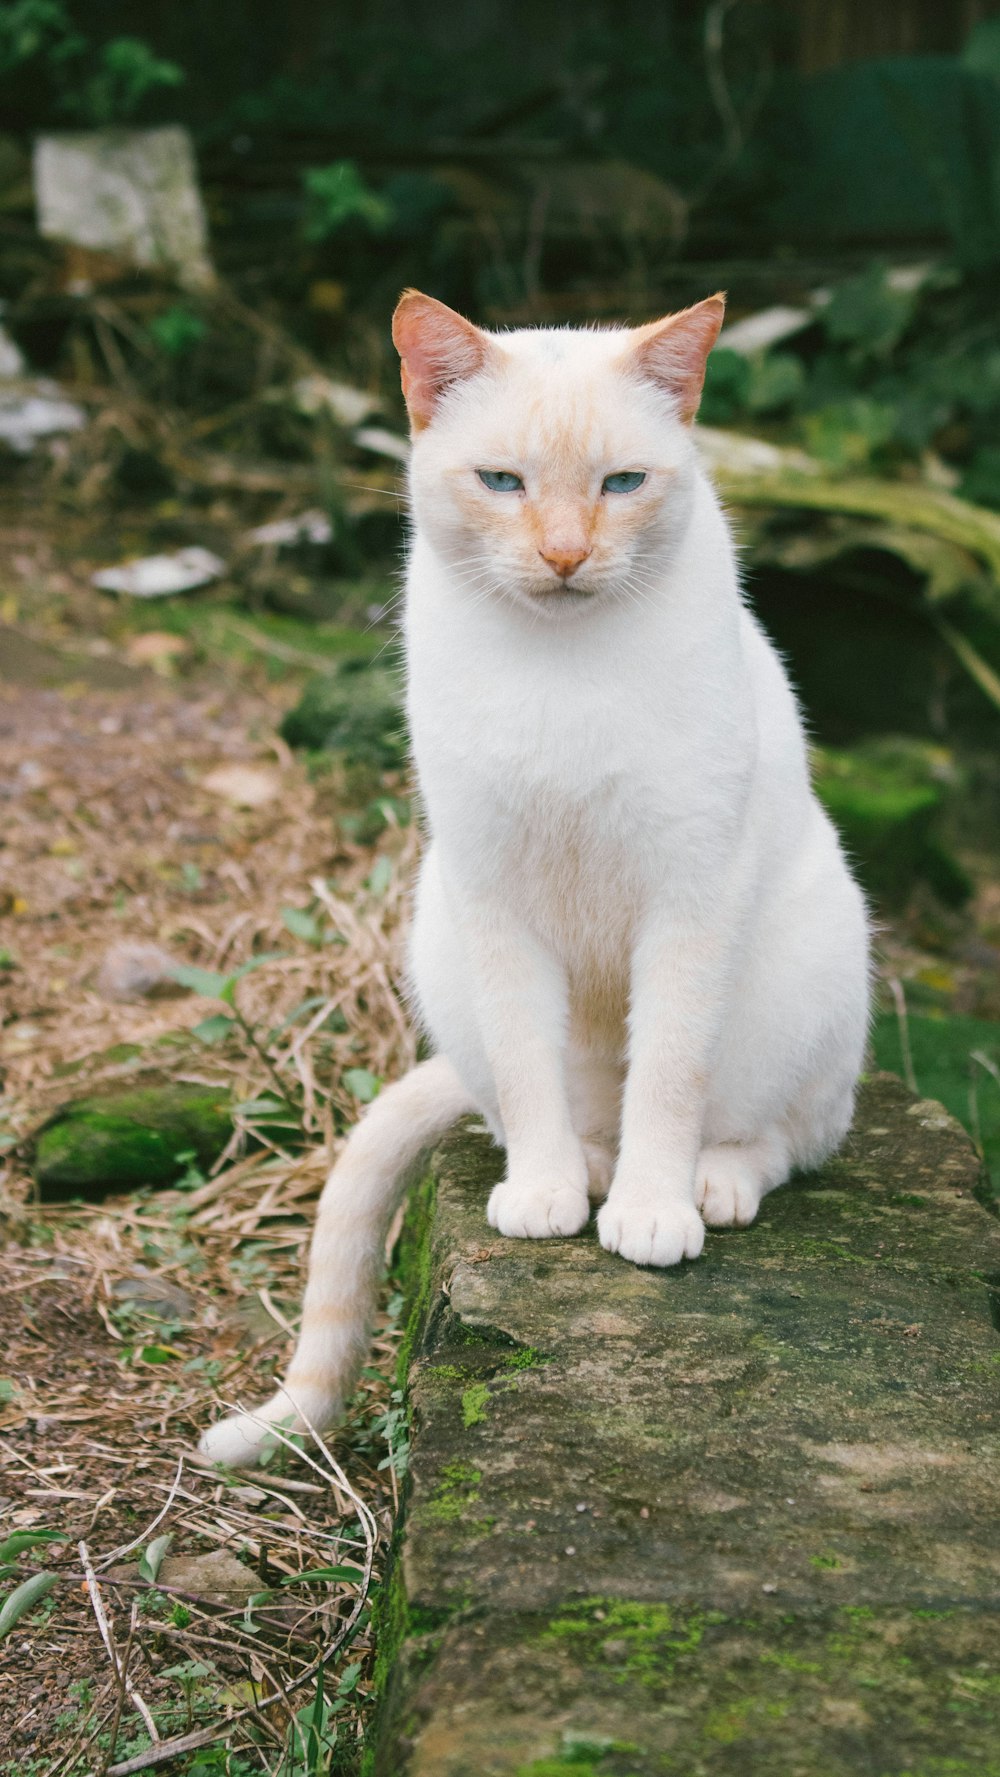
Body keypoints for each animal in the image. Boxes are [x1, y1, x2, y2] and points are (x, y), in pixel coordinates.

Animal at [199, 294, 873, 1471]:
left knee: (783, 1134)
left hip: (812, 956)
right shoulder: (492, 899)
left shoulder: (687, 900)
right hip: (436, 934)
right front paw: (550, 1193)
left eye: (622, 483)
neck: (562, 669)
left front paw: (652, 1211)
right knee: (532, 1104)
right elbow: (525, 1070)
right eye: (504, 482)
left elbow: (671, 1075)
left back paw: (702, 1183)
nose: (564, 553)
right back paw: (580, 1168)